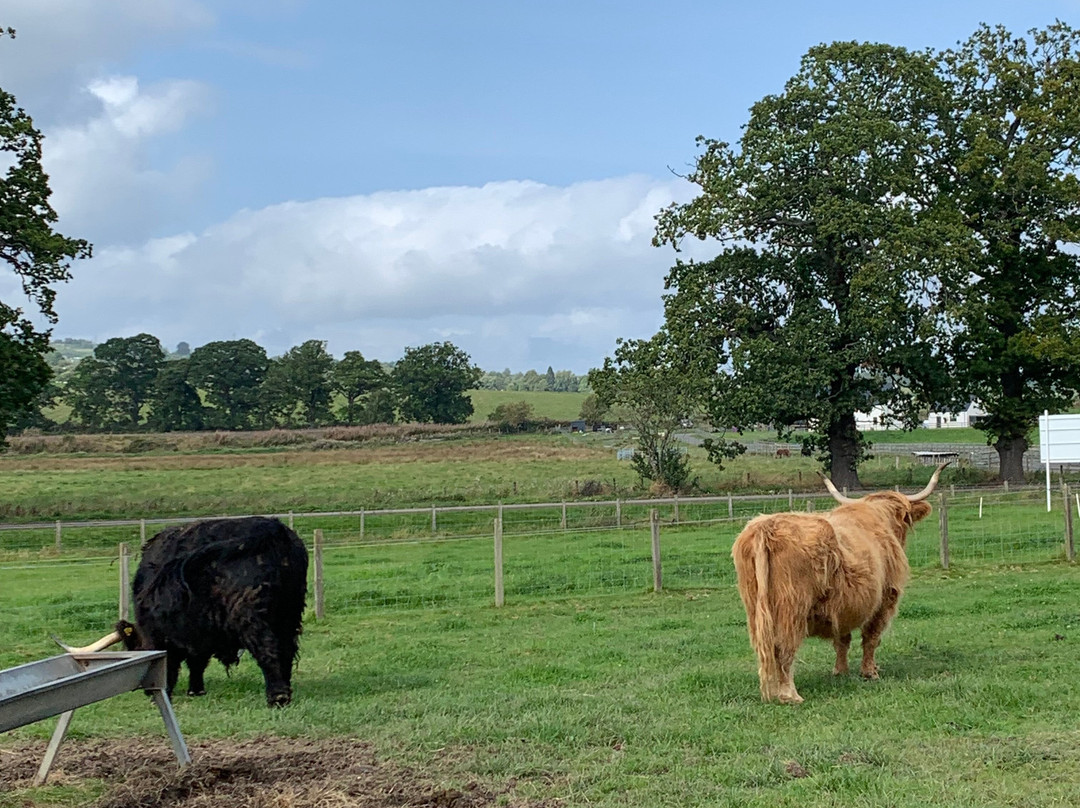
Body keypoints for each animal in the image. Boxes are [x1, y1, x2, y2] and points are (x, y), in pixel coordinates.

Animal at [115, 516, 308, 707]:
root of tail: (271, 525)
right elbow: (197, 662)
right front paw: (196, 690)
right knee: (286, 649)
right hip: (289, 613)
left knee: (268, 648)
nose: (144, 691)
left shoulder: (160, 635)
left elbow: (170, 664)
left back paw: (277, 697)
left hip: (250, 615)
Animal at [731, 463, 947, 704]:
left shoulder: (842, 607)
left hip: (755, 607)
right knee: (784, 649)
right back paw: (790, 695)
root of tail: (766, 527)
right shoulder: (884, 600)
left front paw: (840, 671)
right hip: (791, 607)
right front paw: (870, 672)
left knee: (767, 649)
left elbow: (842, 640)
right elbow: (871, 638)